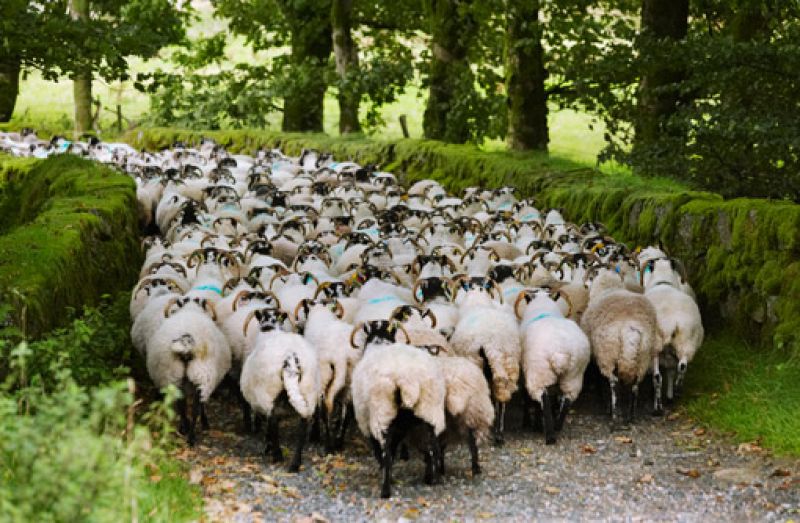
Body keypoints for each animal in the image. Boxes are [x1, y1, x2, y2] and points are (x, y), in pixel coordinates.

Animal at [515, 289, 590, 444]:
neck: (543, 304)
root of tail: (560, 351)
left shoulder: (525, 373)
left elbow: (529, 400)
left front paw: (531, 423)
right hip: (574, 374)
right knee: (567, 399)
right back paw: (557, 426)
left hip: (539, 373)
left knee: (543, 399)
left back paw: (549, 435)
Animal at [581, 269, 662, 428]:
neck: (608, 286)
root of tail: (629, 328)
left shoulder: (596, 353)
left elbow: (599, 379)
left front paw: (604, 404)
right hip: (644, 353)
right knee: (639, 382)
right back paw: (632, 415)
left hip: (607, 351)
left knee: (613, 382)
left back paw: (614, 416)